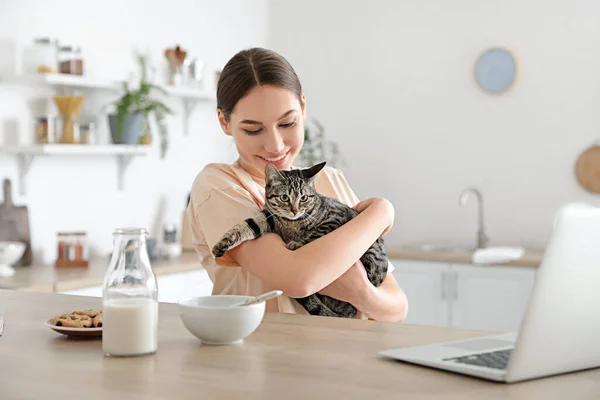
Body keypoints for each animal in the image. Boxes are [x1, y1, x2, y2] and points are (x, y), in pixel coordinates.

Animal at [211, 161, 390, 318]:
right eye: (284, 197)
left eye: (303, 198)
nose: (295, 210)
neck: (292, 223)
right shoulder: (267, 218)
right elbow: (246, 225)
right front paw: (224, 242)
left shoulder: (335, 218)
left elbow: (315, 234)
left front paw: (297, 243)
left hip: (371, 255)